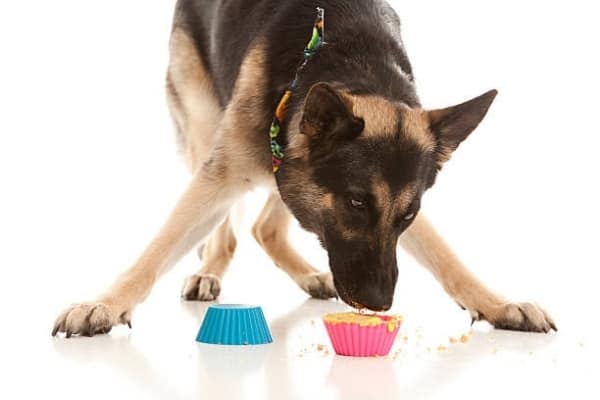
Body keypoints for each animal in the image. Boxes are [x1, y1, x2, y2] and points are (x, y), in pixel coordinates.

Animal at [52, 0, 556, 338]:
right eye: (356, 203)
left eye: (408, 214)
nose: (380, 304)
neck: (355, 63)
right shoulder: (222, 174)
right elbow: (153, 254)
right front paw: (103, 305)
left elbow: (448, 260)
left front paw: (499, 304)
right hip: (206, 125)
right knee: (230, 231)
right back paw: (210, 271)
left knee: (266, 227)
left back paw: (309, 274)